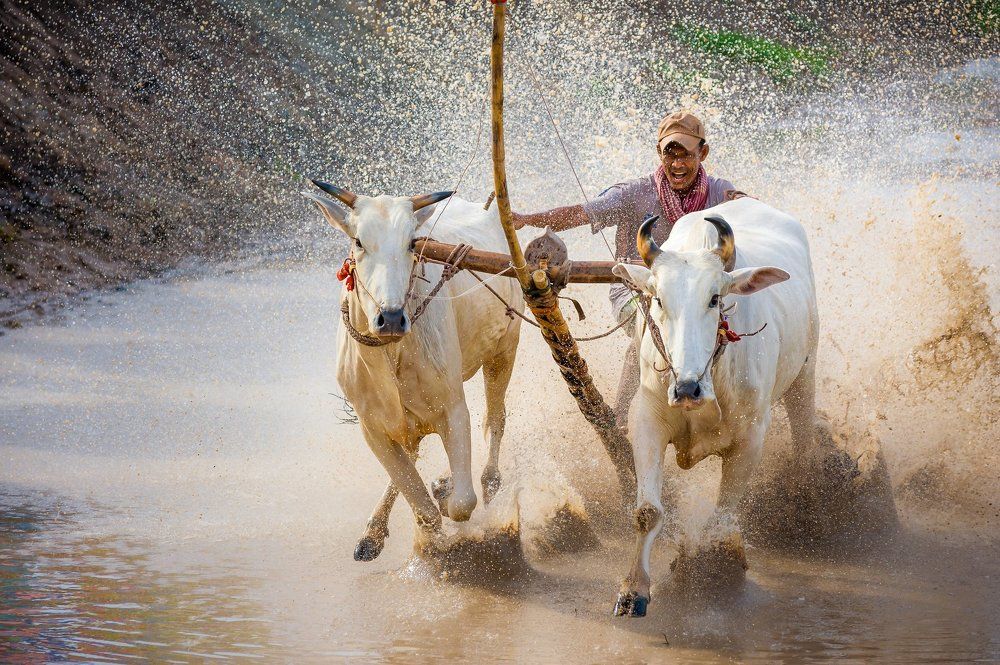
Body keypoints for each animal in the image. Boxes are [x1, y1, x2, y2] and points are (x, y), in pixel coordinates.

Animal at [302, 180, 523, 561]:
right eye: (358, 242)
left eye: (412, 243)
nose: (390, 317)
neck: (391, 352)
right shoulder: (372, 427)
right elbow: (419, 501)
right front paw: (414, 525)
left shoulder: (453, 409)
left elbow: (462, 503)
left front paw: (447, 492)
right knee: (414, 453)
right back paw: (374, 531)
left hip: (503, 352)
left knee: (495, 420)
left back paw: (486, 481)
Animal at [609, 197, 819, 617]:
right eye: (658, 299)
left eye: (715, 298)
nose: (687, 388)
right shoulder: (646, 421)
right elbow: (647, 512)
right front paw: (633, 590)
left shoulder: (751, 437)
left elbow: (722, 517)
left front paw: (713, 574)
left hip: (806, 371)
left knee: (805, 434)